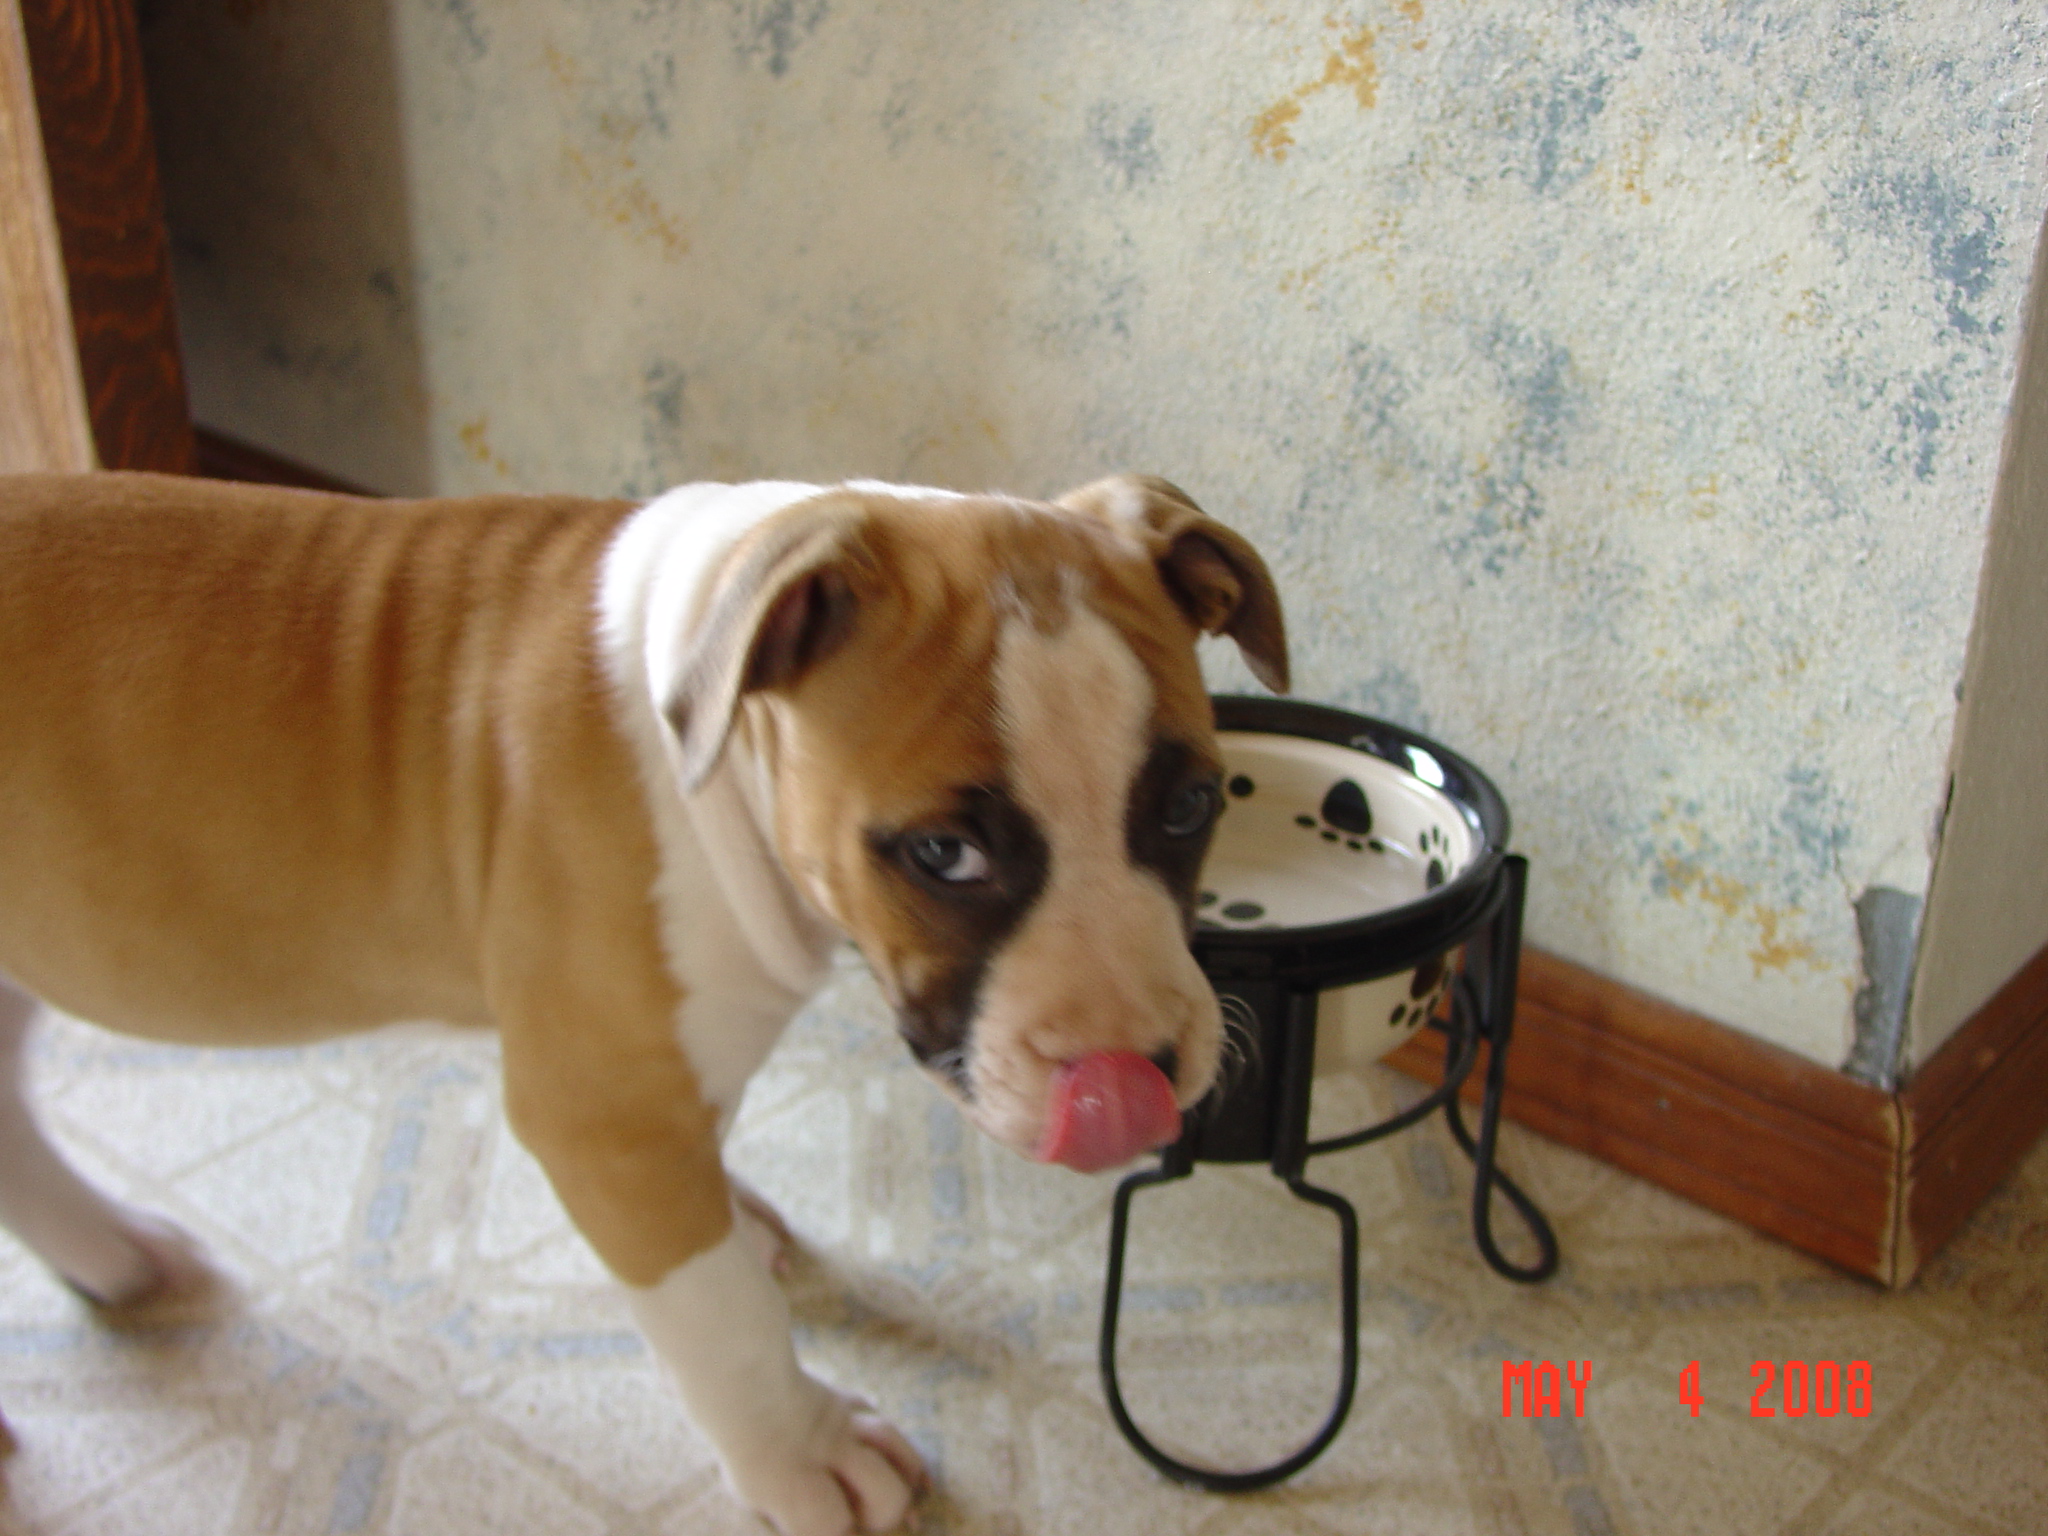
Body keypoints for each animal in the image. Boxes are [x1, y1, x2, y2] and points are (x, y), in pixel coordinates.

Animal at [0, 469, 1288, 1534]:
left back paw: (108, 1252)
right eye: (944, 855)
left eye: (1188, 808)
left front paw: (733, 1209)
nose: (1137, 1068)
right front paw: (799, 1453)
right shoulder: (601, 1114)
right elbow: (717, 1312)